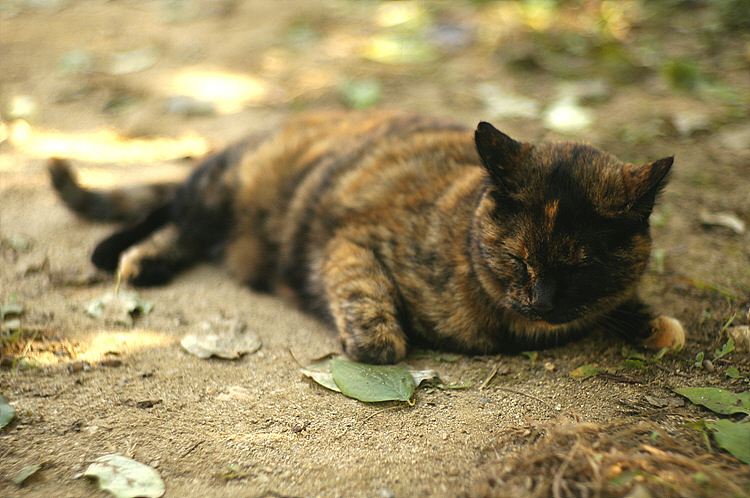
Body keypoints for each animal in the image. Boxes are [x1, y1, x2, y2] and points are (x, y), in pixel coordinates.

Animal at [48, 111, 688, 364]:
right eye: (519, 259)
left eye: (581, 267)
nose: (543, 302)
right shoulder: (352, 241)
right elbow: (372, 315)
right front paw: (372, 340)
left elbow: (629, 310)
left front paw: (655, 324)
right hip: (221, 192)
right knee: (176, 220)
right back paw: (136, 260)